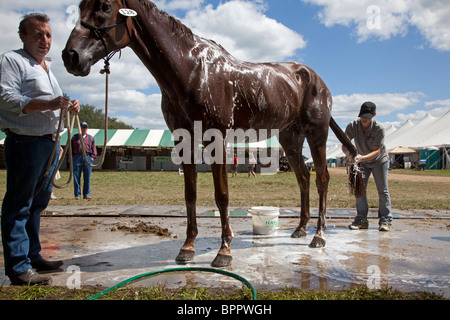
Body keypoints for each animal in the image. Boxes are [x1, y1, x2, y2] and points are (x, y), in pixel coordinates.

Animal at [62, 0, 358, 268]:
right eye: (80, 6)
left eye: (104, 6)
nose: (70, 56)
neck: (193, 70)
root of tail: (313, 78)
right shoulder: (185, 141)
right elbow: (190, 194)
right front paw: (187, 247)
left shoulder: (217, 140)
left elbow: (222, 195)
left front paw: (224, 251)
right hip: (291, 140)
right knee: (303, 179)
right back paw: (300, 229)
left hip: (316, 134)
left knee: (321, 179)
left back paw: (318, 236)